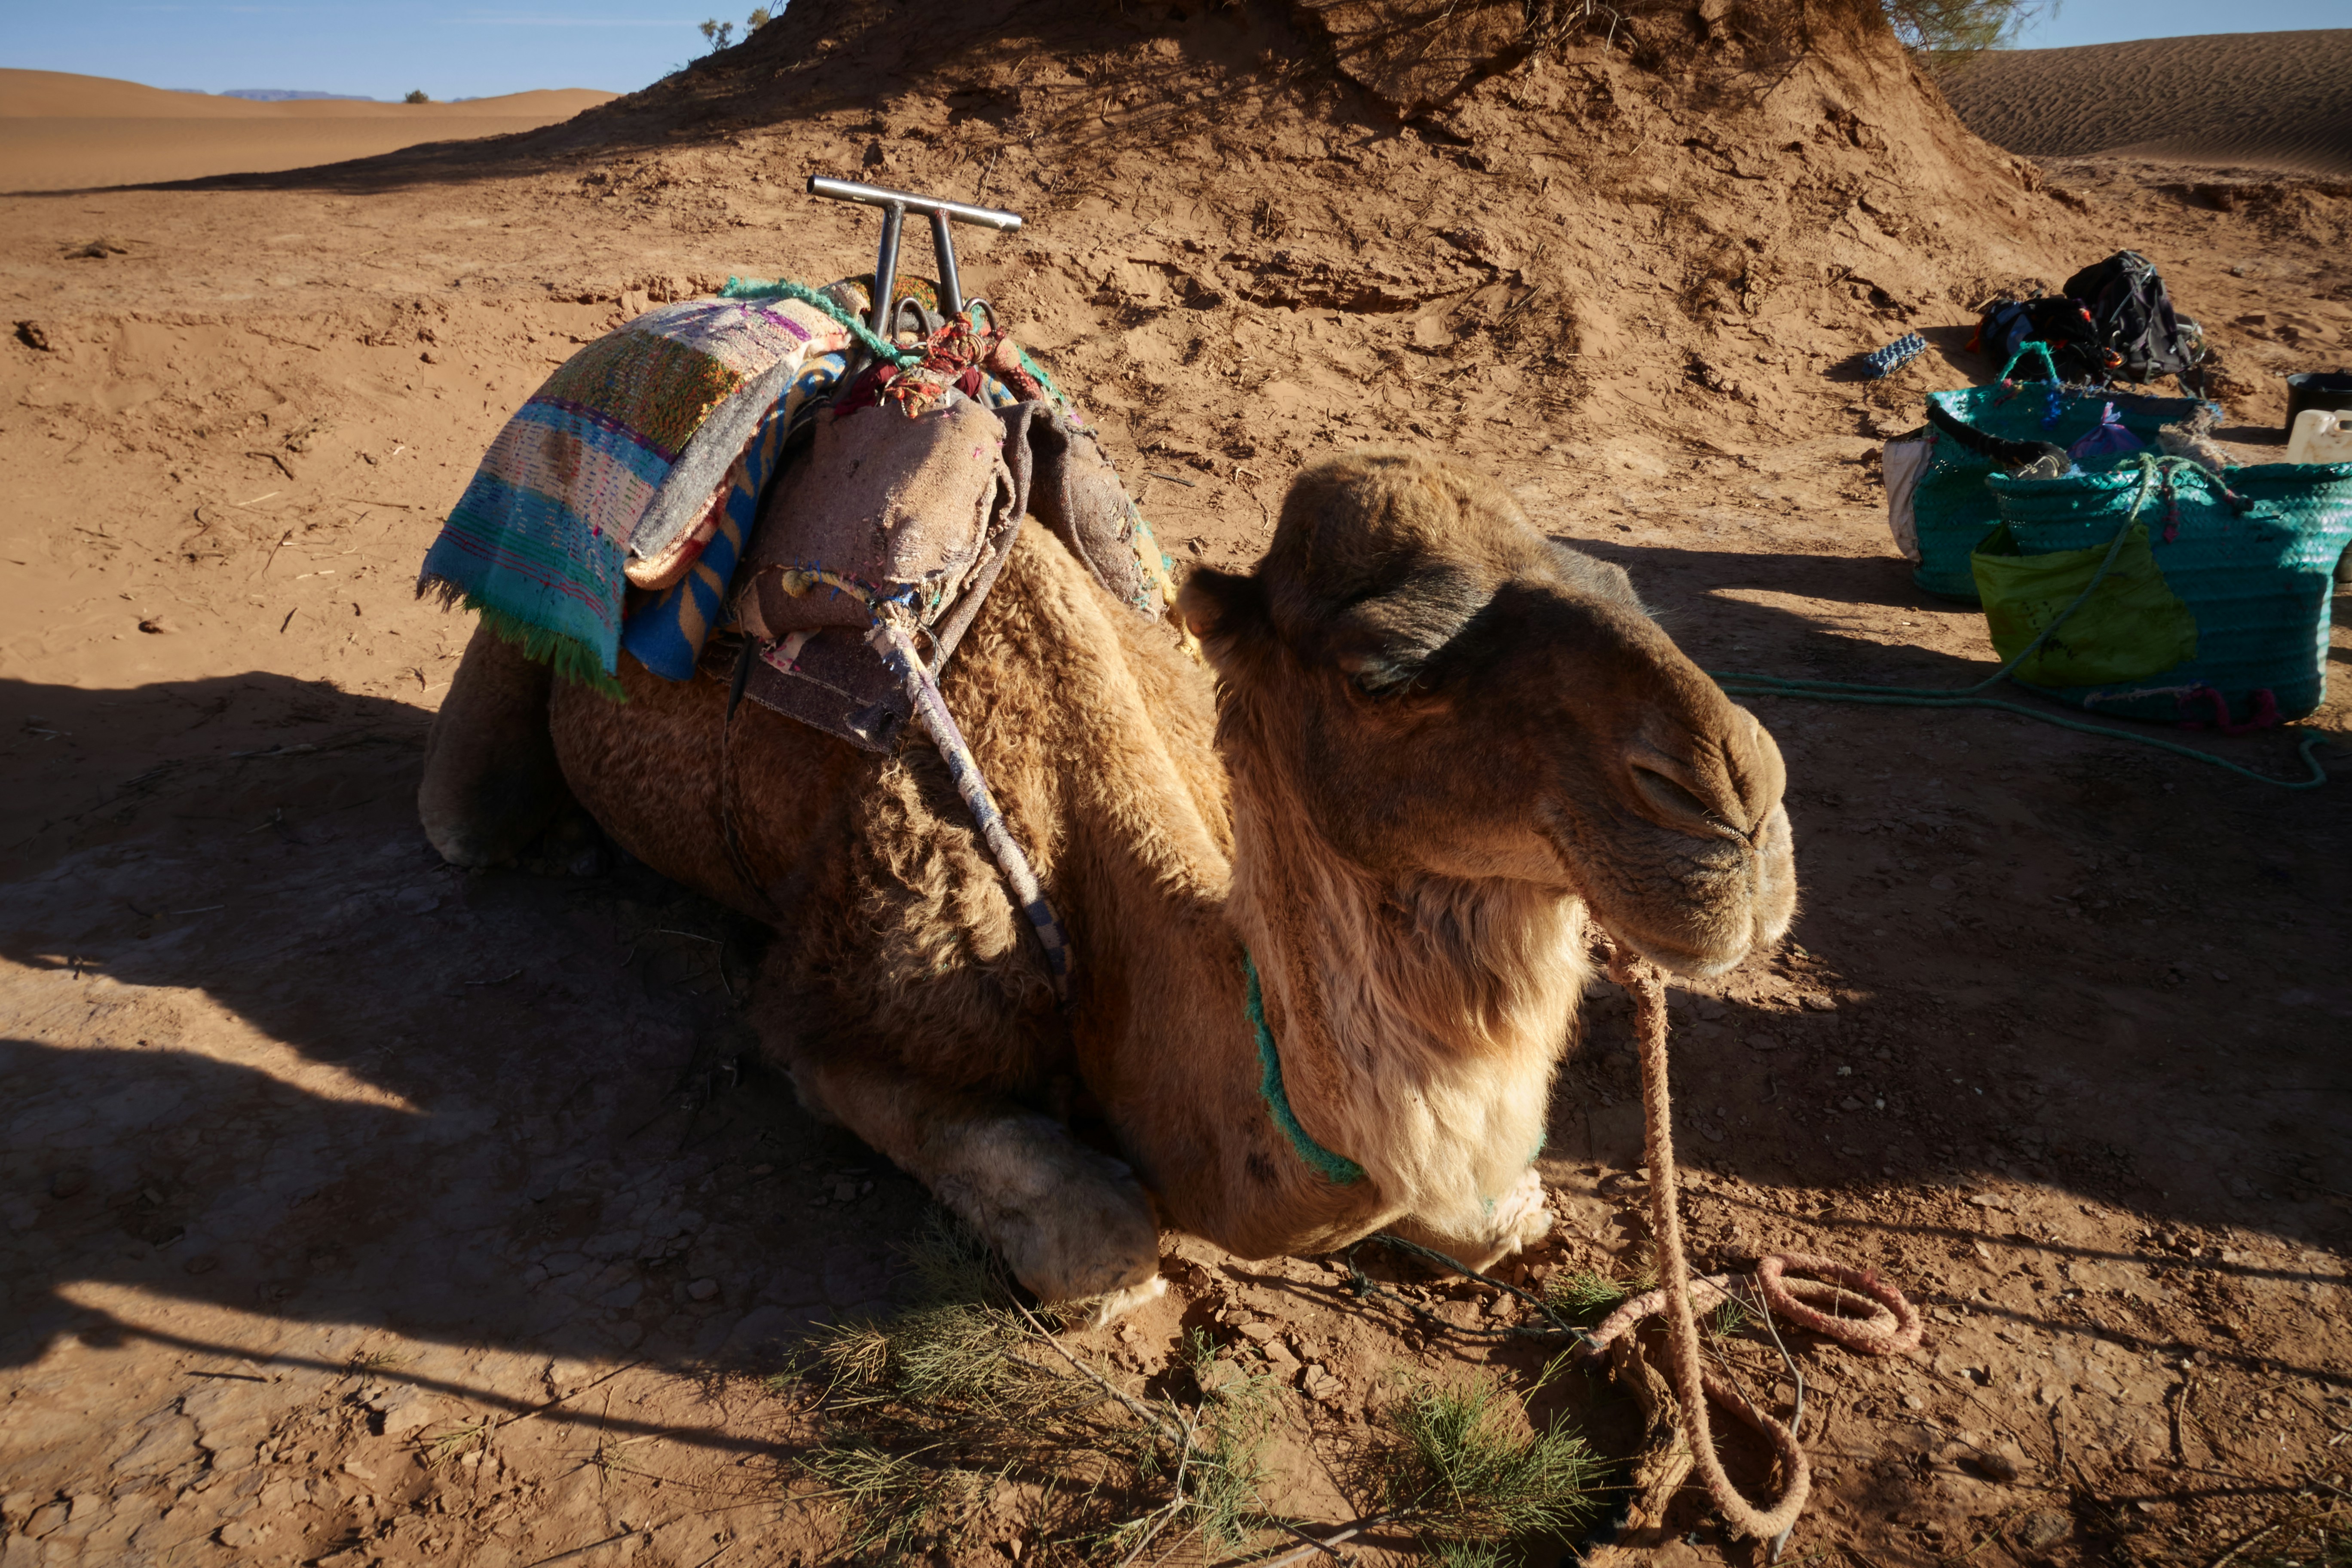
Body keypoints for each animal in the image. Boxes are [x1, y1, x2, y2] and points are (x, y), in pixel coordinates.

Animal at [419, 449, 1795, 1316]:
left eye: (1623, 582)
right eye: (1381, 672)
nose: (1738, 809)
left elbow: (1508, 1210)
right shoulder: (829, 1005)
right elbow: (1107, 1235)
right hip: (496, 695)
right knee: (465, 819)